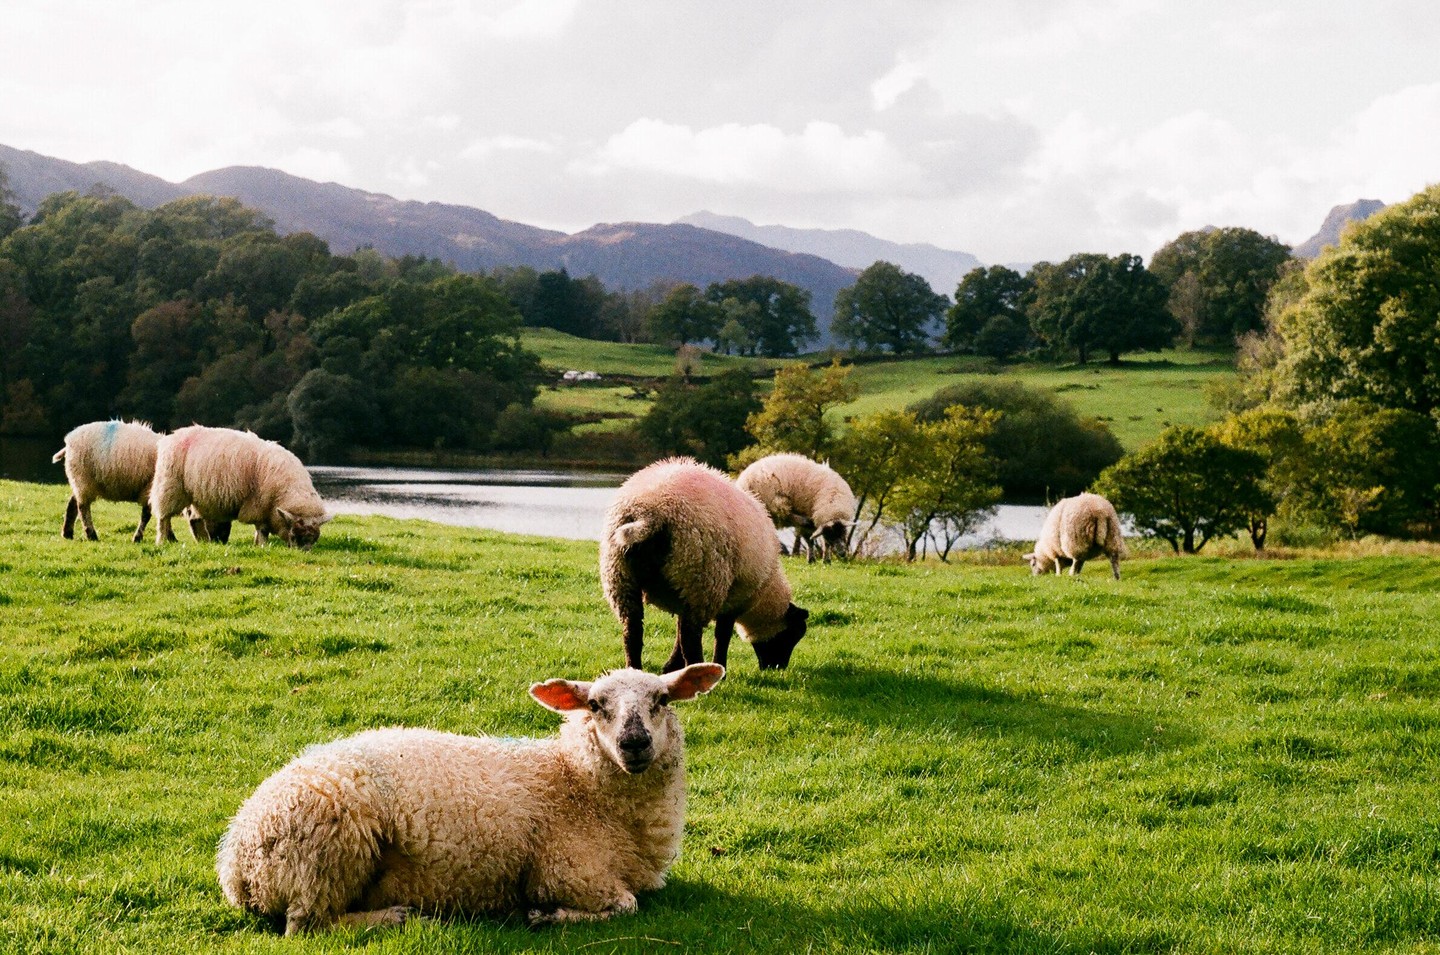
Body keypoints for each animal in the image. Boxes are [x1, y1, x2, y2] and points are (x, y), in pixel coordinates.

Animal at [150, 425, 329, 549]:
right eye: (294, 536)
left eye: (314, 539)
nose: (303, 552)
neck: (288, 490)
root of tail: (173, 435)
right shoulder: (260, 505)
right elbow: (262, 529)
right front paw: (262, 545)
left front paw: (257, 544)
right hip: (169, 486)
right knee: (164, 517)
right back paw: (162, 540)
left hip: (196, 495)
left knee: (195, 519)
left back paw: (203, 541)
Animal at [216, 663, 725, 935]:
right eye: (596, 706)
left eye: (662, 700)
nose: (634, 742)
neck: (574, 781)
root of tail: (235, 863)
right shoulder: (567, 870)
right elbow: (626, 905)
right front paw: (546, 915)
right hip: (324, 857)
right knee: (307, 926)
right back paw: (397, 917)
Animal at [601, 457, 809, 673]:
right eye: (793, 634)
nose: (777, 668)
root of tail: (648, 514)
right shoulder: (733, 598)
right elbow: (722, 635)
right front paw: (720, 667)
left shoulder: (682, 594)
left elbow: (678, 632)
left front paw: (671, 667)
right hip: (702, 580)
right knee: (690, 637)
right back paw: (699, 669)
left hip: (623, 578)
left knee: (632, 631)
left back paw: (634, 670)